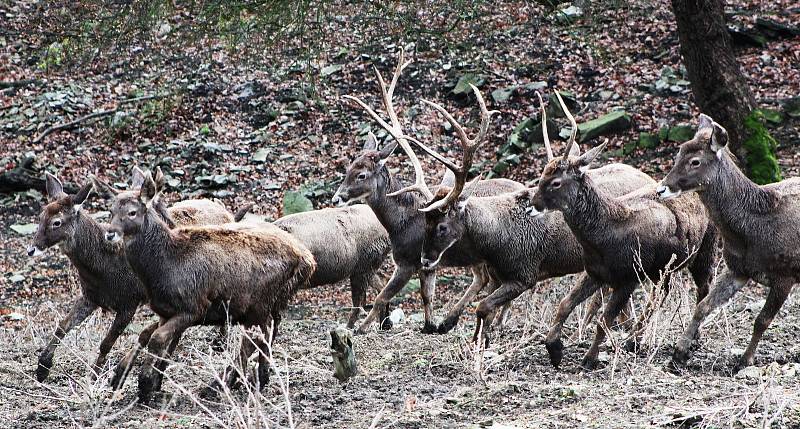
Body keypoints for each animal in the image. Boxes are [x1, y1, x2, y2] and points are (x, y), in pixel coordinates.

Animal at [22, 169, 234, 382]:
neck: (103, 270)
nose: (31, 249)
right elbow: (62, 326)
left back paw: (220, 342)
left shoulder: (130, 301)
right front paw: (42, 368)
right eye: (41, 216)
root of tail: (226, 211)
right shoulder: (90, 296)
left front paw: (95, 376)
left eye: (57, 222)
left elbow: (106, 343)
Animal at [94, 170, 316, 402]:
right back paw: (256, 378)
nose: (110, 233)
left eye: (132, 212)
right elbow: (151, 336)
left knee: (255, 338)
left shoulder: (194, 306)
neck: (164, 267)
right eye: (110, 210)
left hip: (259, 302)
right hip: (268, 304)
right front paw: (133, 379)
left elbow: (157, 338)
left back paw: (222, 384)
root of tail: (308, 261)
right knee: (265, 334)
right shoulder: (166, 310)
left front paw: (144, 385)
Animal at [334, 48, 528, 332]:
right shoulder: (427, 264)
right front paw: (429, 324)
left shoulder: (409, 261)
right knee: (488, 279)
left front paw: (360, 329)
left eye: (361, 174)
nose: (338, 197)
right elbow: (427, 295)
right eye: (348, 167)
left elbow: (383, 297)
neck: (400, 224)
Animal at [410, 90, 660, 344]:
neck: (496, 239)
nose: (425, 259)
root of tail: (650, 178)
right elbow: (485, 312)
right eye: (426, 221)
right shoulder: (498, 276)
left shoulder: (525, 273)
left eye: (442, 226)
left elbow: (483, 307)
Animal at [656, 114, 800, 372]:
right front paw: (679, 353)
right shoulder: (737, 269)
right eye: (678, 153)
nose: (661, 189)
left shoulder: (786, 274)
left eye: (695, 161)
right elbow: (702, 306)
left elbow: (762, 320)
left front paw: (744, 360)